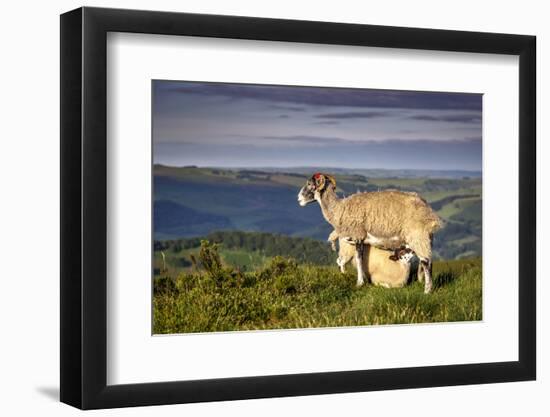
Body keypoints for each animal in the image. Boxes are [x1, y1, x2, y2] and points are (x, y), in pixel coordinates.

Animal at [300, 172, 442, 292]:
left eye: (309, 184)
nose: (299, 198)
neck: (339, 209)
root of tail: (429, 212)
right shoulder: (359, 239)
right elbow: (359, 259)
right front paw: (362, 279)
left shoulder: (357, 235)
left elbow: (359, 259)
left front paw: (359, 283)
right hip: (425, 238)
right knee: (428, 261)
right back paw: (424, 283)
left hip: (417, 236)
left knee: (426, 261)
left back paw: (427, 291)